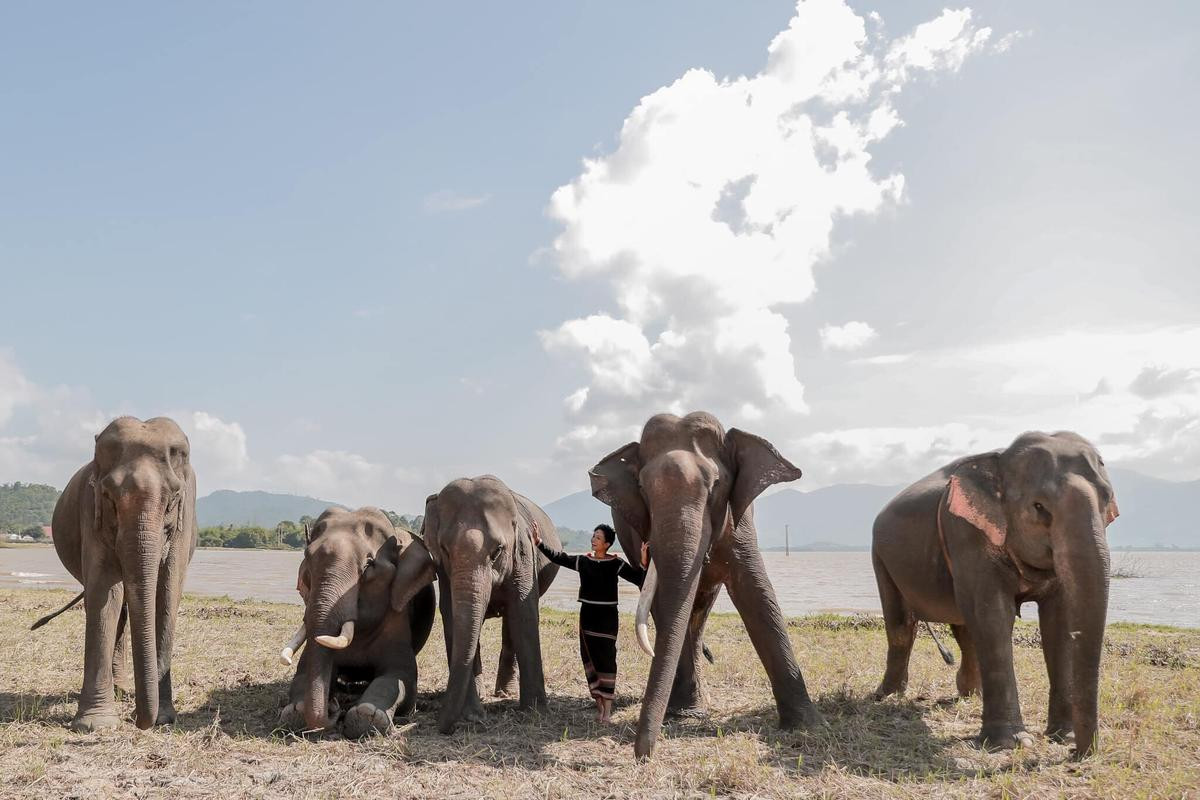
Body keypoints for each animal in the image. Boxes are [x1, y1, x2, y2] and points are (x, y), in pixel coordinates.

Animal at [276, 506, 436, 738]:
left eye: (369, 564)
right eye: (307, 557)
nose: (334, 707)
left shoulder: (397, 622)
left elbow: (400, 677)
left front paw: (367, 716)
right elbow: (303, 672)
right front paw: (295, 712)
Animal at [422, 474, 561, 734]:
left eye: (497, 550)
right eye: (444, 549)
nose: (442, 726)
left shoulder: (523, 553)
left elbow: (524, 614)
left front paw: (535, 713)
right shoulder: (444, 572)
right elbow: (452, 616)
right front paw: (471, 715)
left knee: (510, 626)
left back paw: (505, 693)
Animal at [588, 417, 825, 762]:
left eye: (714, 485)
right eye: (643, 489)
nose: (642, 755)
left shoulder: (739, 520)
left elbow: (757, 592)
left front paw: (806, 725)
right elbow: (664, 603)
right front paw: (685, 715)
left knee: (700, 613)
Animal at [868, 431, 1118, 758]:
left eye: (1107, 499)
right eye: (1039, 507)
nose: (1078, 754)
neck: (999, 462)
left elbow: (1059, 623)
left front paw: (1062, 736)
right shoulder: (965, 532)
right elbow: (993, 616)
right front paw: (1010, 743)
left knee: (964, 630)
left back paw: (969, 694)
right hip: (881, 557)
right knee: (901, 628)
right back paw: (887, 695)